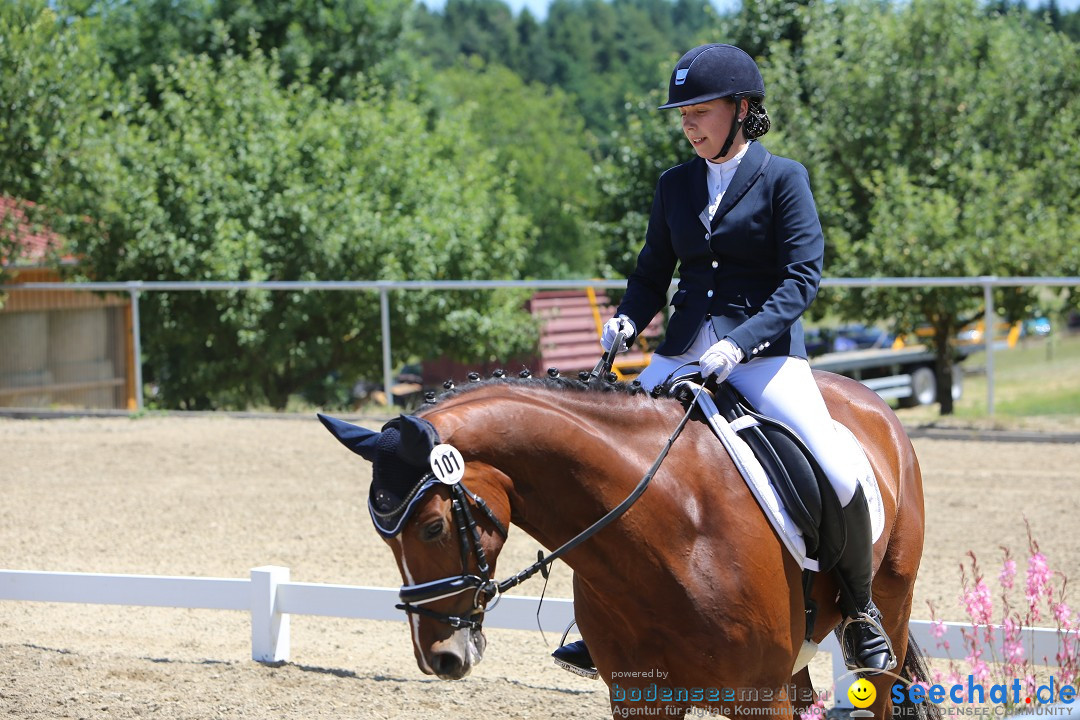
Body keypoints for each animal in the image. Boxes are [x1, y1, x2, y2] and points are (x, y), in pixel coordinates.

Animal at [317, 371, 937, 720]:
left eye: (432, 527)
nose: (440, 658)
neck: (673, 536)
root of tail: (869, 398)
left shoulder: (758, 698)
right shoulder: (641, 699)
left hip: (892, 605)